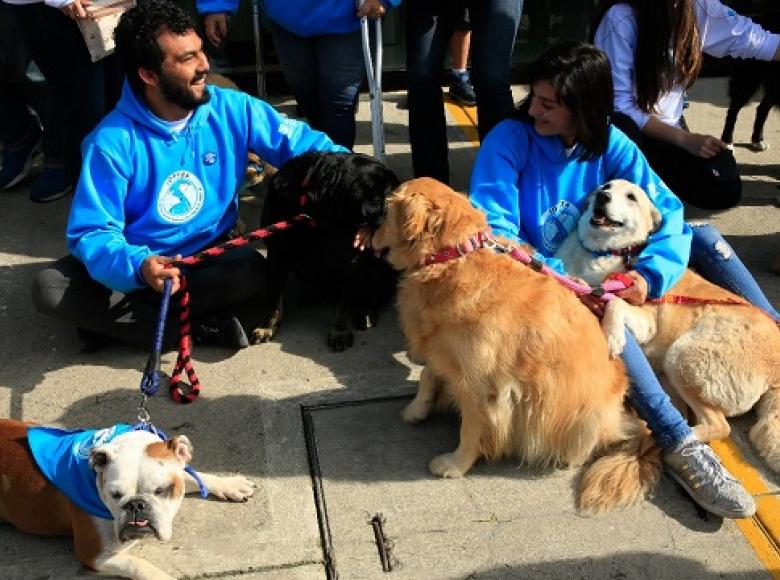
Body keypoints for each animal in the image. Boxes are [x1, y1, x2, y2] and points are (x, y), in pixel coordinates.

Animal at [253, 152, 400, 352]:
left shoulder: (351, 261)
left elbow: (345, 301)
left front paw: (340, 331)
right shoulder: (276, 253)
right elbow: (275, 297)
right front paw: (267, 327)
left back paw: (366, 312)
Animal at [556, 179, 780, 474]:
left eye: (631, 196)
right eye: (605, 186)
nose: (602, 197)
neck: (602, 252)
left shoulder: (645, 319)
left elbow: (614, 302)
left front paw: (613, 336)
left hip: (683, 356)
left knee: (719, 427)